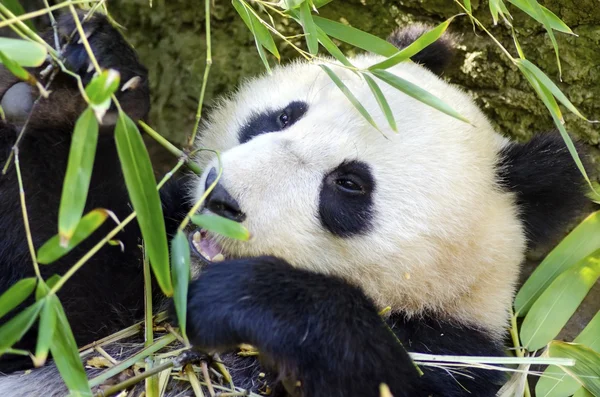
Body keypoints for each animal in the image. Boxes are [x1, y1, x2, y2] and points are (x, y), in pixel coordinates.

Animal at [0, 10, 588, 396]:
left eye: (348, 185)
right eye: (284, 116)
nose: (221, 196)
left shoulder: (459, 353)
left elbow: (380, 371)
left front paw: (245, 296)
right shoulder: (149, 261)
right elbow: (48, 301)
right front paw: (82, 84)